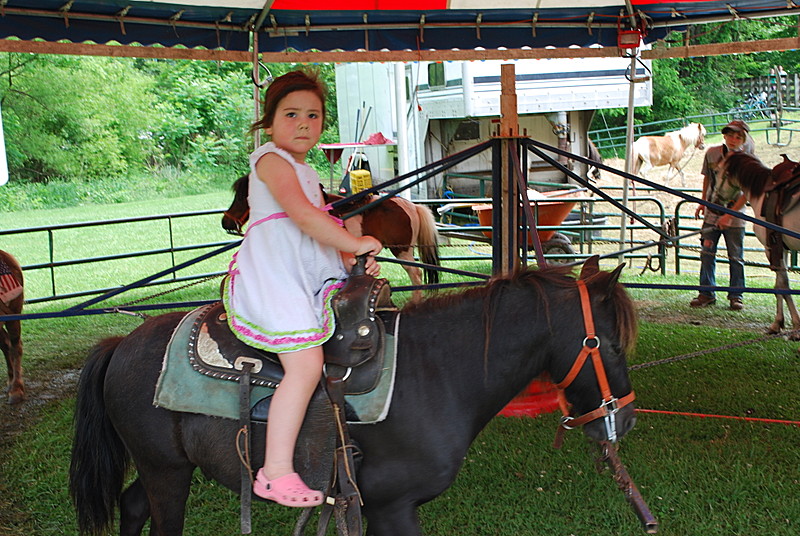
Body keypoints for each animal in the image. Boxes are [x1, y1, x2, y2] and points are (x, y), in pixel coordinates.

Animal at [72, 256, 640, 536]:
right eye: (610, 343)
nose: (627, 419)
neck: (435, 375)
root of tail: (122, 344)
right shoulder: (393, 507)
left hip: (165, 468)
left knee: (132, 506)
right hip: (166, 472)